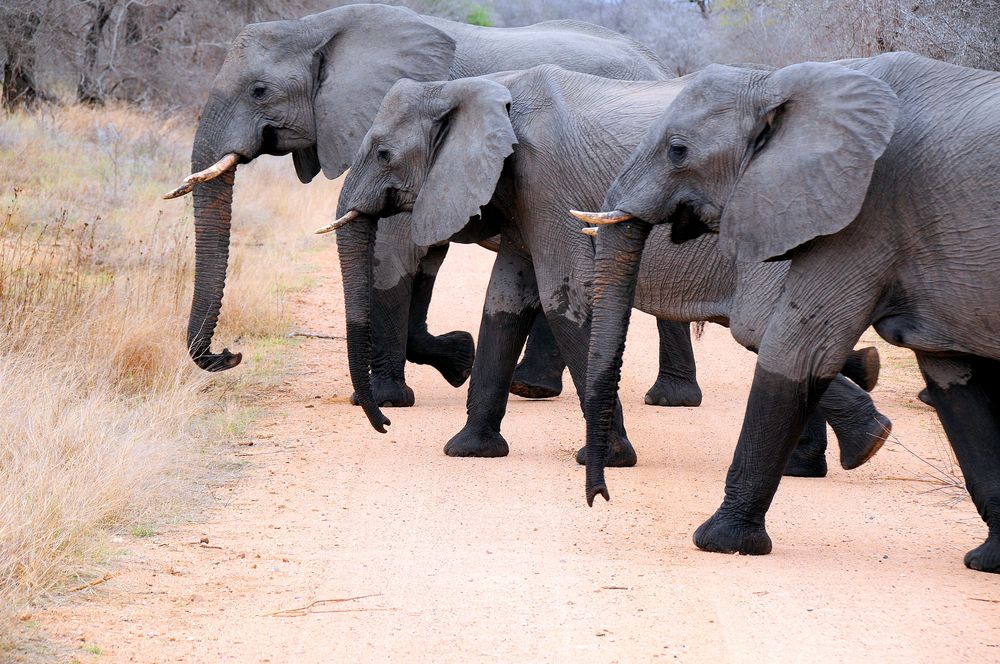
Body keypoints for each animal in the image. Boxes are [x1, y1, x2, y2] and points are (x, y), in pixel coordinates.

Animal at [324, 65, 888, 472]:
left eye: (383, 153)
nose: (383, 425)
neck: (480, 85)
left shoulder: (547, 180)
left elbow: (564, 299)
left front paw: (608, 460)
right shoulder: (522, 192)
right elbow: (505, 300)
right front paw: (468, 451)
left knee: (763, 331)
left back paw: (869, 444)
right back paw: (820, 458)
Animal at [576, 52, 1000, 572]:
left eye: (677, 150)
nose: (600, 498)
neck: (780, 82)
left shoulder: (865, 208)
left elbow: (799, 348)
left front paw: (721, 541)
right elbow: (953, 376)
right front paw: (989, 560)